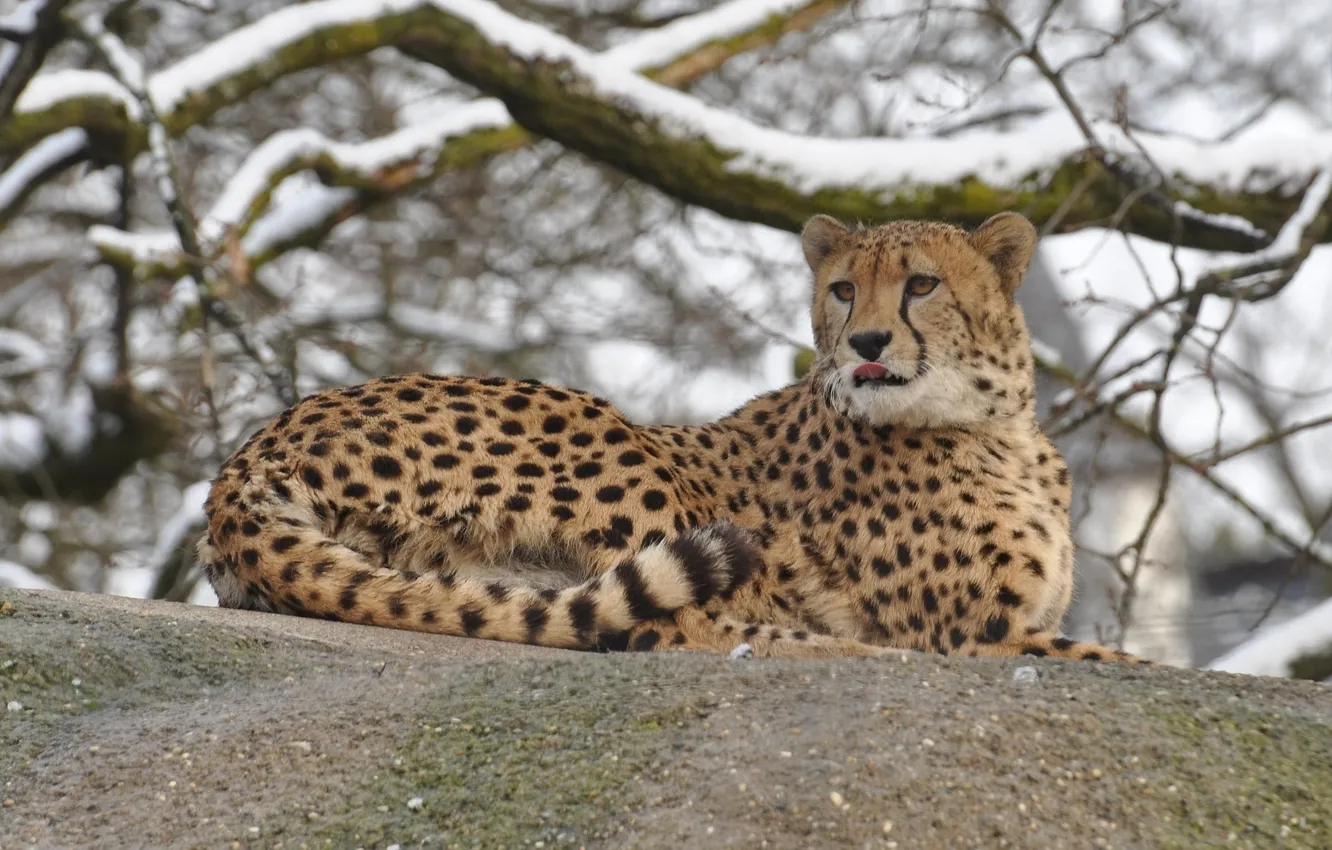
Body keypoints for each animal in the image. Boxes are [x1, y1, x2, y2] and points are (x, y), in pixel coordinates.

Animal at [197, 211, 1143, 664]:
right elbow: (1121, 658)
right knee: (665, 626)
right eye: (843, 289)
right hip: (618, 443)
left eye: (921, 285)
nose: (869, 343)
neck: (995, 425)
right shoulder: (986, 631)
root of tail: (240, 464)